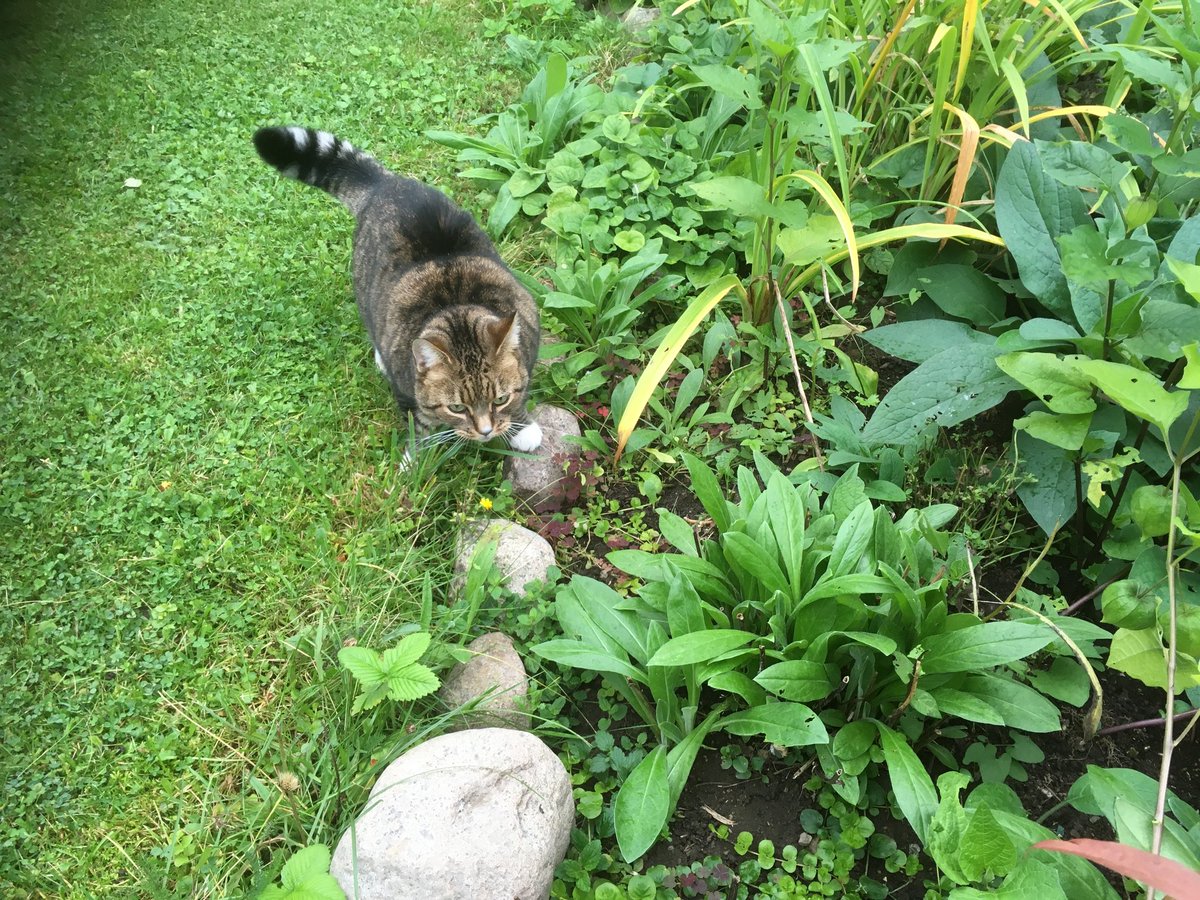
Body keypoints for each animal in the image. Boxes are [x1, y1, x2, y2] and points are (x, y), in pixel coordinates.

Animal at [253, 125, 544, 451]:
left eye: (500, 399)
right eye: (457, 407)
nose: (486, 431)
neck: (455, 303)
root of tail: (385, 183)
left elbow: (522, 389)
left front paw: (522, 427)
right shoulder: (408, 394)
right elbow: (420, 428)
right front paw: (417, 457)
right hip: (366, 291)